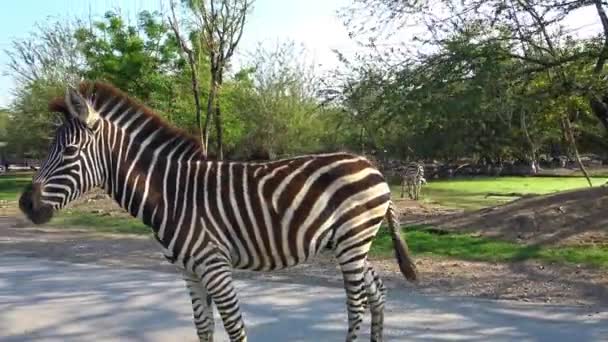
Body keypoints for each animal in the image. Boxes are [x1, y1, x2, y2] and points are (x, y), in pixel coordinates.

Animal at [19, 82, 418, 342]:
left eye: (68, 151)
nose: (25, 204)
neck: (172, 194)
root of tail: (371, 165)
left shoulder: (215, 266)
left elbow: (235, 329)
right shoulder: (189, 273)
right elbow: (204, 329)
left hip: (352, 241)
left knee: (356, 303)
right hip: (350, 243)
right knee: (377, 293)